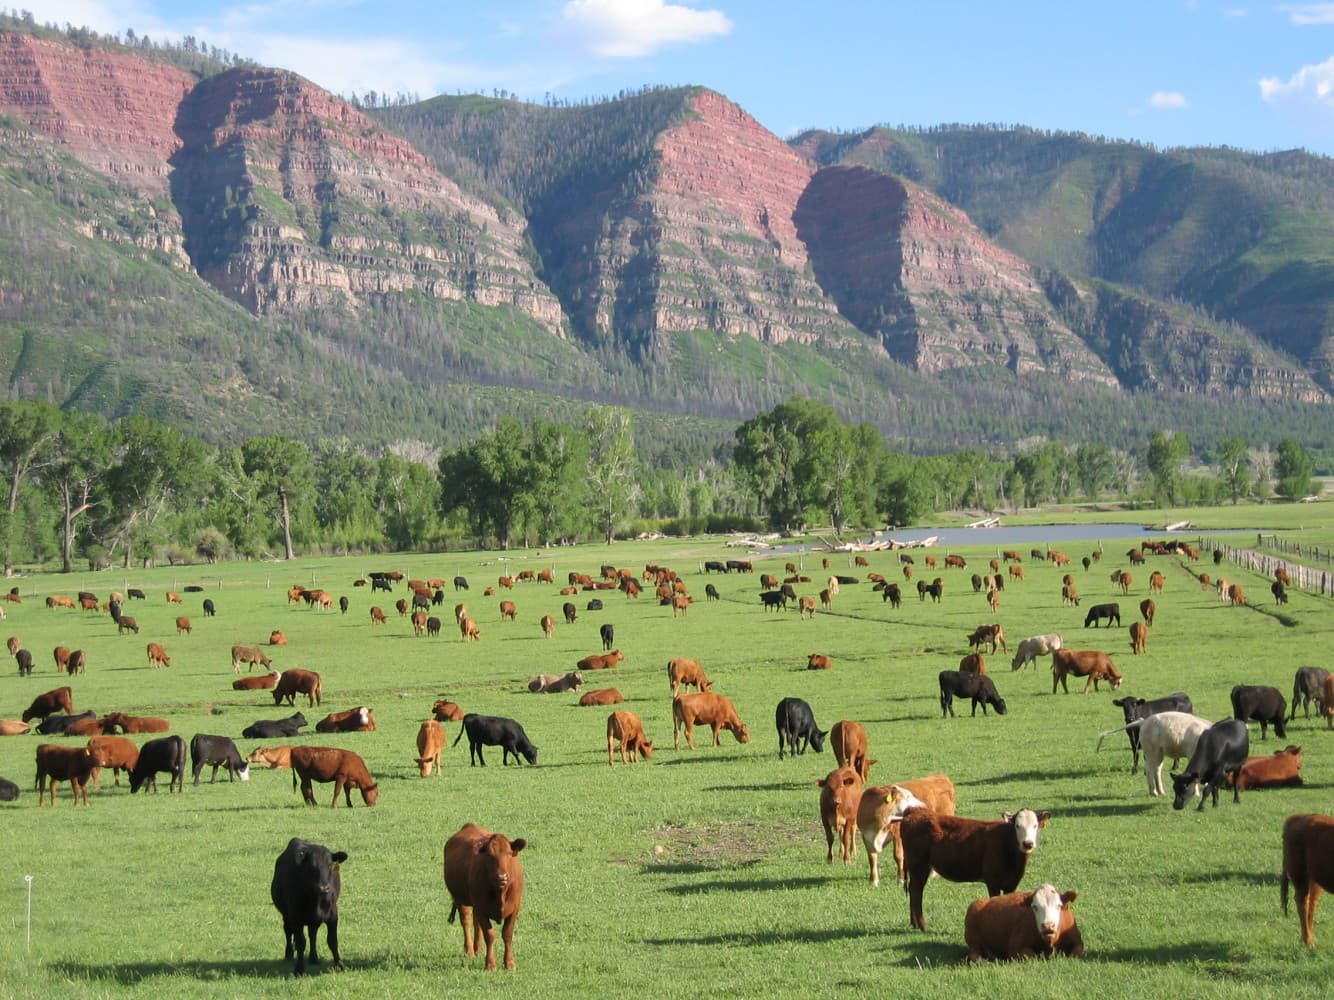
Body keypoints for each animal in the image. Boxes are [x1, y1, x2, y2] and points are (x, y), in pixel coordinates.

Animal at [271, 837, 348, 975]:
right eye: (312, 867)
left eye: (330, 865)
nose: (324, 887)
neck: (316, 899)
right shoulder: (296, 918)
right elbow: (301, 943)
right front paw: (299, 969)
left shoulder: (333, 915)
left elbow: (332, 941)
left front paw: (339, 965)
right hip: (286, 915)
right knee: (288, 931)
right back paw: (289, 954)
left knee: (313, 934)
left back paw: (313, 958)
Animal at [443, 823, 526, 971]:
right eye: (490, 856)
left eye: (509, 854)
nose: (502, 877)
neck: (500, 893)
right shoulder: (481, 908)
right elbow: (490, 935)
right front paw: (491, 964)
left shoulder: (515, 907)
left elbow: (507, 934)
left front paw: (510, 963)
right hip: (461, 899)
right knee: (466, 921)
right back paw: (470, 950)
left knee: (476, 923)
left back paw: (479, 949)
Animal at [899, 806, 1051, 930]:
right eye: (1018, 826)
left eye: (1035, 825)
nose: (1028, 843)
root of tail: (914, 811)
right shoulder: (993, 881)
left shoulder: (1012, 883)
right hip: (919, 866)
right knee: (916, 891)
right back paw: (922, 925)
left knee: (913, 890)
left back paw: (914, 924)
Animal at [1281, 813, 1334, 948]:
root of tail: (1301, 817)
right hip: (1300, 875)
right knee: (1303, 902)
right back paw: (1308, 941)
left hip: (1314, 880)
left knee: (1311, 902)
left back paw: (1311, 939)